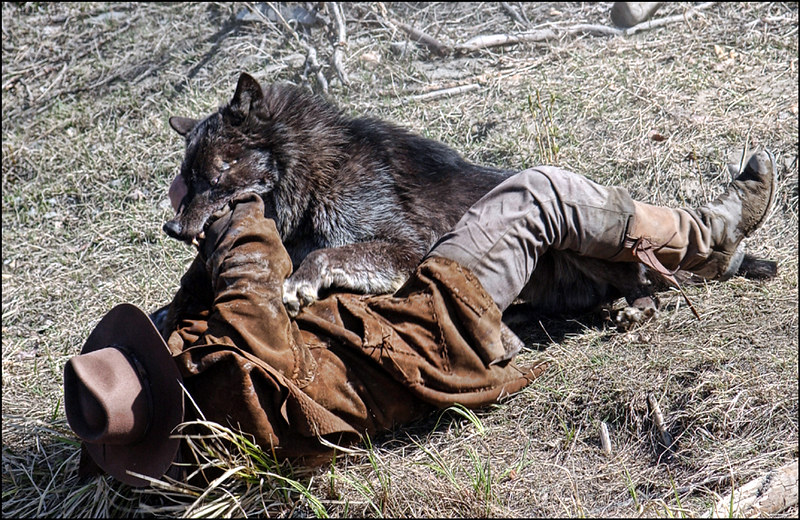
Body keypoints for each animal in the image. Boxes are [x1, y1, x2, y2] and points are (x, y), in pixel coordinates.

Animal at [164, 72, 776, 324]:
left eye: (212, 172)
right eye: (185, 178)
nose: (172, 229)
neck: (318, 172)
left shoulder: (410, 250)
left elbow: (325, 255)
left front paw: (300, 283)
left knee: (644, 279)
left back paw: (638, 304)